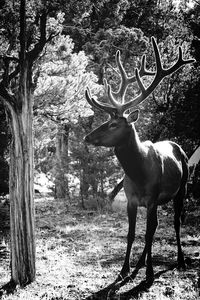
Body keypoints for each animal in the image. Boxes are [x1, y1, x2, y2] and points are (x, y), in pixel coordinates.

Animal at [83, 37, 195, 288]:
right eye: (106, 121)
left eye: (114, 124)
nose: (87, 137)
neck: (139, 174)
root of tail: (178, 146)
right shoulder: (131, 200)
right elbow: (132, 233)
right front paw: (124, 270)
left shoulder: (152, 198)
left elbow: (149, 233)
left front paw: (150, 274)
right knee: (155, 227)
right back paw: (141, 263)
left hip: (182, 187)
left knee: (175, 222)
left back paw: (180, 259)